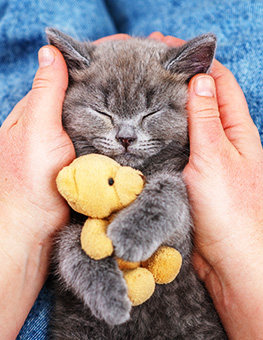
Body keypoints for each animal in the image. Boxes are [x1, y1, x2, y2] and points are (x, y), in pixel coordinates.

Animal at [47, 27, 229, 338]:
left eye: (151, 112)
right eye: (102, 112)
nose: (126, 137)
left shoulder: (182, 244)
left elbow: (170, 192)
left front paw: (130, 235)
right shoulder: (70, 224)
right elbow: (71, 245)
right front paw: (108, 297)